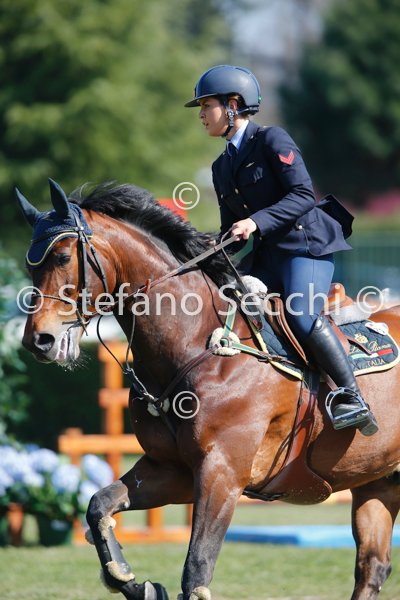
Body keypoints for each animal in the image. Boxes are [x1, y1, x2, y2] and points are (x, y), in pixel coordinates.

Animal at [18, 178, 400, 600]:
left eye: (62, 257)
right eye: (30, 265)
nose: (39, 341)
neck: (196, 343)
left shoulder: (222, 473)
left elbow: (196, 570)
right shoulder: (173, 471)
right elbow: (99, 506)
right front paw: (135, 583)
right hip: (378, 481)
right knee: (372, 567)